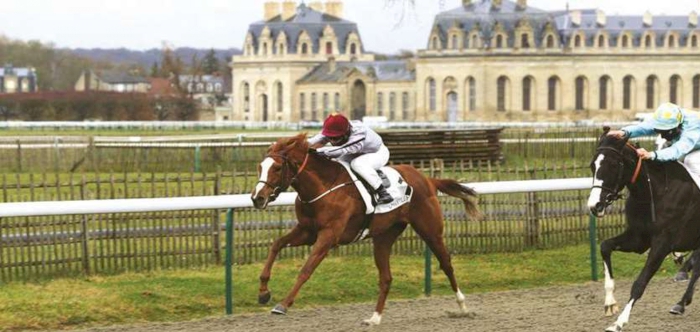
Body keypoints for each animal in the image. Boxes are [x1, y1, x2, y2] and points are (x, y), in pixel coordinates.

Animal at [247, 134, 482, 326]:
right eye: (260, 166)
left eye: (277, 168)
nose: (257, 198)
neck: (324, 186)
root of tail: (428, 179)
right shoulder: (307, 231)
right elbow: (276, 245)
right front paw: (263, 293)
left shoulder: (328, 236)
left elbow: (306, 269)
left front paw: (283, 304)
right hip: (384, 237)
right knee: (386, 278)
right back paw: (374, 318)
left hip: (430, 230)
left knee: (446, 263)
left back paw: (462, 306)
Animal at [588, 126, 700, 330]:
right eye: (593, 165)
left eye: (613, 165)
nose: (595, 206)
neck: (654, 191)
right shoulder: (638, 238)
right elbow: (605, 246)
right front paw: (610, 303)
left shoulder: (662, 244)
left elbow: (640, 283)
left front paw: (619, 323)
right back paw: (680, 303)